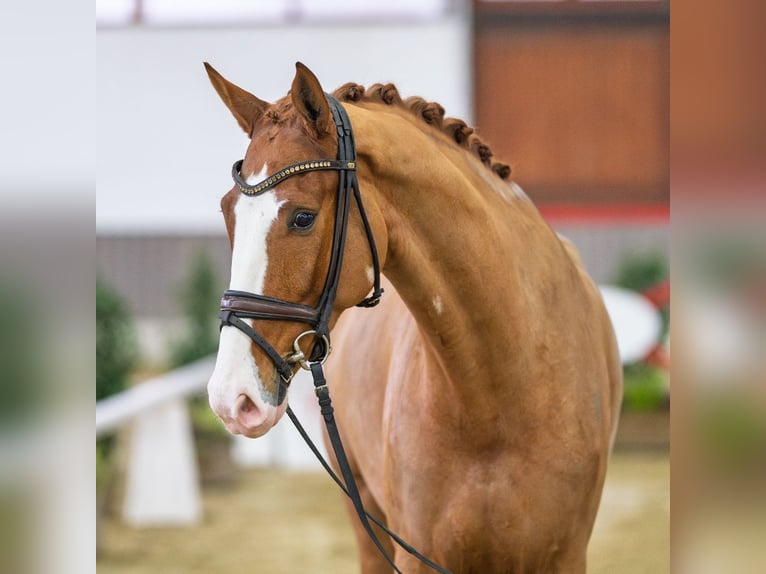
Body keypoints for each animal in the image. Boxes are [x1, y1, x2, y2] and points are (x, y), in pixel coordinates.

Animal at [205, 61, 622, 573]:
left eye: (302, 218)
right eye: (228, 212)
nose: (231, 399)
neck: (500, 390)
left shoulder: (565, 557)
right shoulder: (415, 553)